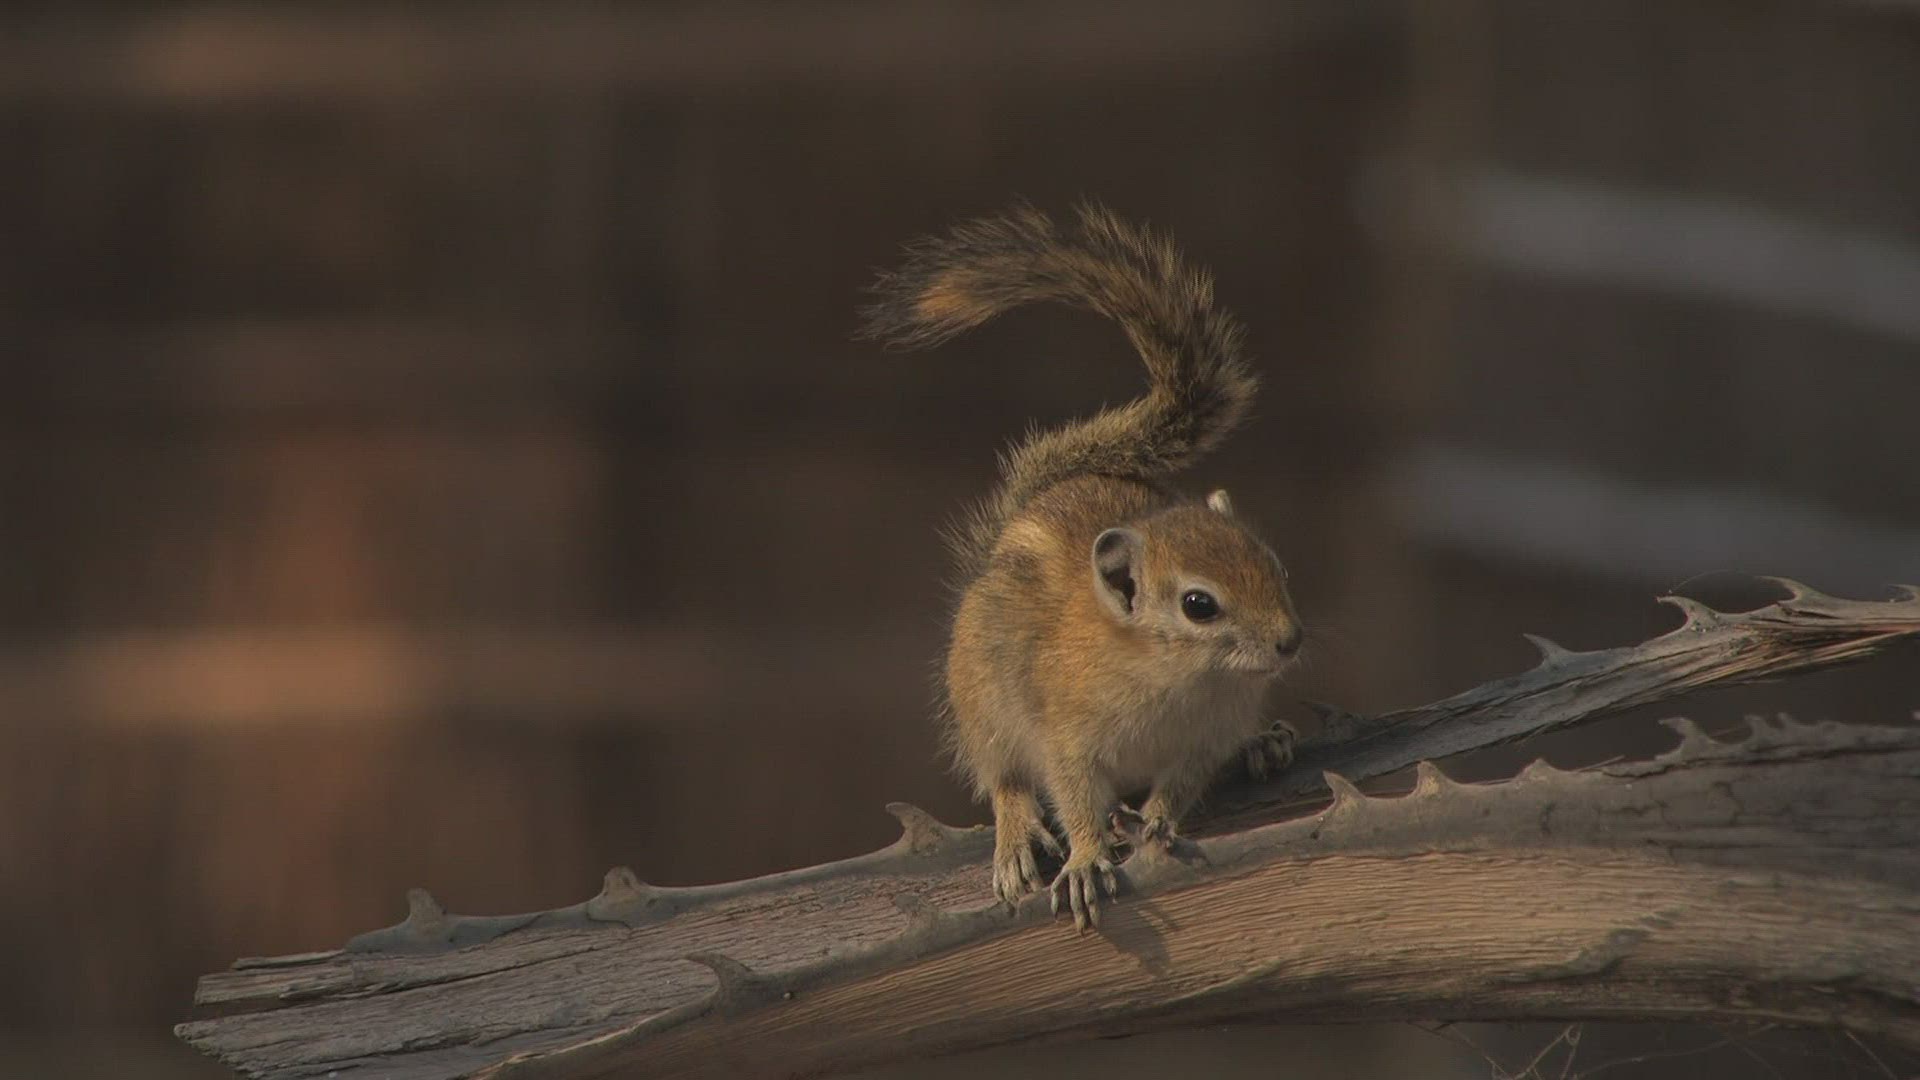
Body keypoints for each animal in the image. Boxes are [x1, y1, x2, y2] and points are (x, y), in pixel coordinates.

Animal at [862, 203, 1302, 930]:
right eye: (1199, 604)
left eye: (1276, 565)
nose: (1290, 642)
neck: (1172, 679)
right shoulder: (1067, 734)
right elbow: (1070, 795)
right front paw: (1088, 857)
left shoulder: (1203, 740)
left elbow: (1181, 785)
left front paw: (1159, 821)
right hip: (981, 702)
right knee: (1004, 778)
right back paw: (1016, 837)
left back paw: (1265, 743)